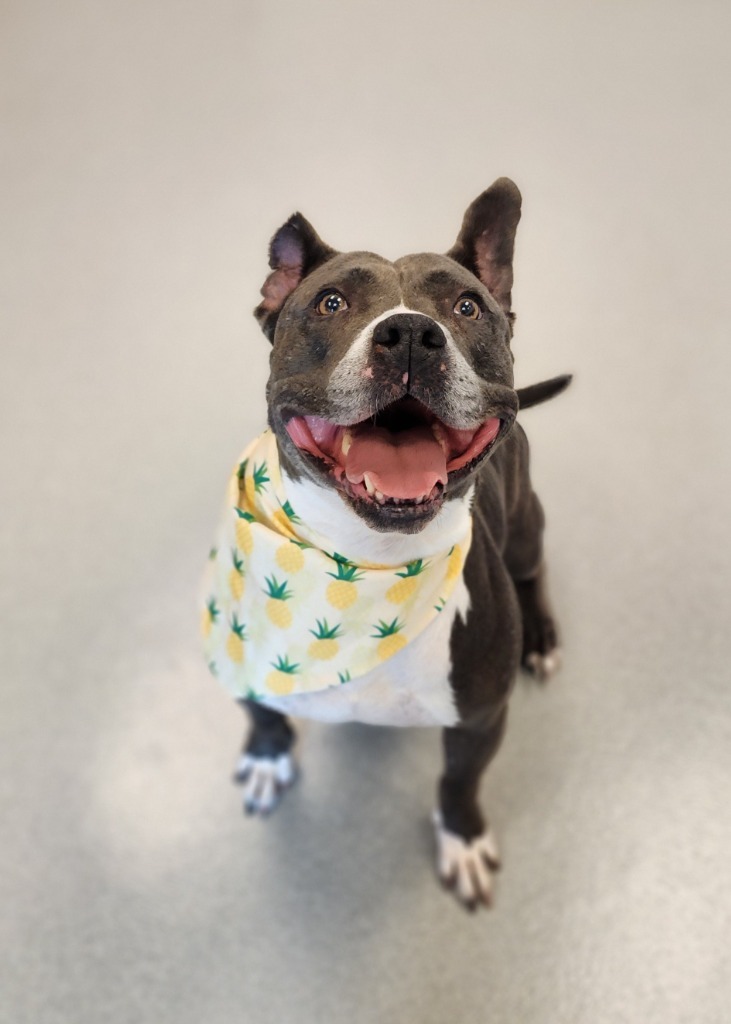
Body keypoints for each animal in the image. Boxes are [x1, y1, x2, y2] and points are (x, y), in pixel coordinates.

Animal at [200, 178, 569, 913]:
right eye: (331, 302)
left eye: (466, 307)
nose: (410, 335)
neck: (360, 565)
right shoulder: (233, 649)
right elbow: (260, 713)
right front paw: (267, 757)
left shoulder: (480, 720)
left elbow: (458, 782)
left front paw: (461, 839)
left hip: (524, 522)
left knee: (534, 565)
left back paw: (541, 634)